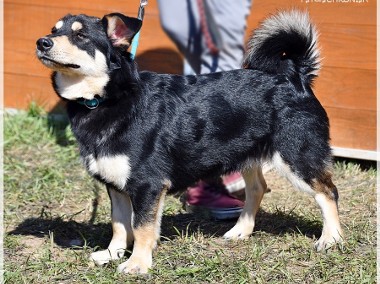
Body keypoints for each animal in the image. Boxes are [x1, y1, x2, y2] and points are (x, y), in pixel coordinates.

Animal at [36, 10, 344, 272]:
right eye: (54, 30)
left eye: (81, 36)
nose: (42, 42)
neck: (105, 99)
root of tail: (294, 76)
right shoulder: (116, 185)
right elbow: (120, 224)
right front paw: (113, 254)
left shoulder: (147, 185)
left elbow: (142, 227)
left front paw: (137, 264)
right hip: (247, 153)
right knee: (257, 189)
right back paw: (240, 231)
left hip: (297, 156)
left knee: (328, 192)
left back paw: (331, 239)